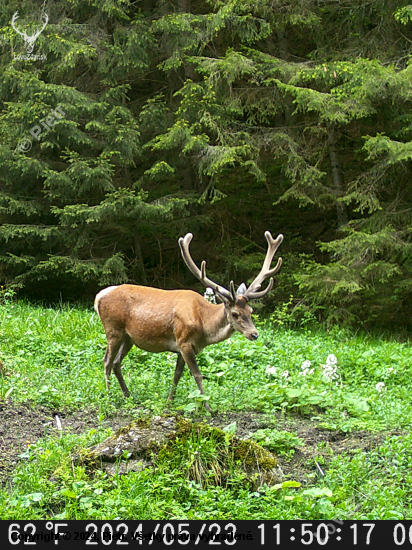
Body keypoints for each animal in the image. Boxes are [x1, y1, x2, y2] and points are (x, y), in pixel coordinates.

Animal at [94, 231, 284, 412]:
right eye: (235, 313)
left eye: (251, 311)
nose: (254, 334)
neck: (204, 326)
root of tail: (98, 297)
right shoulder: (184, 340)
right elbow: (197, 374)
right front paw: (207, 406)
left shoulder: (181, 347)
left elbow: (177, 374)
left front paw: (169, 401)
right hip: (113, 329)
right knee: (107, 361)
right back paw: (109, 396)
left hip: (129, 338)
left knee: (117, 363)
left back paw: (127, 395)